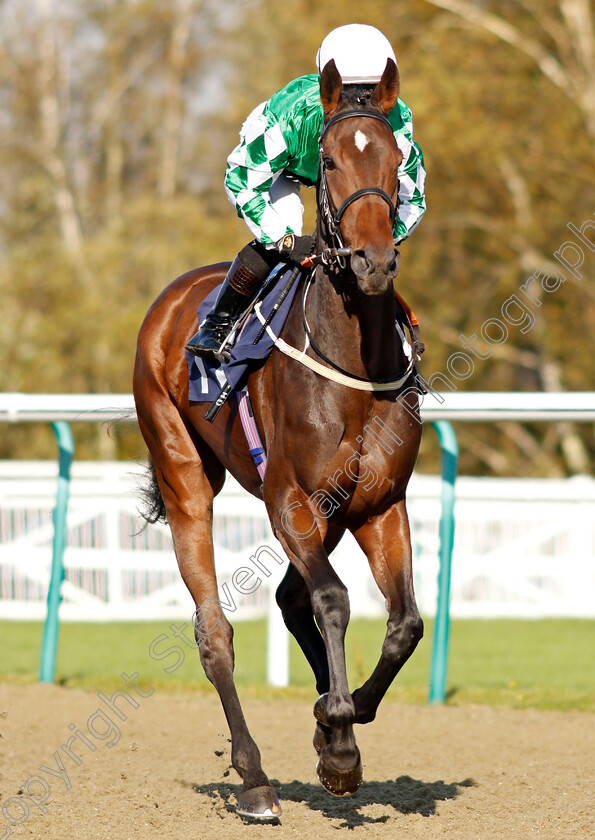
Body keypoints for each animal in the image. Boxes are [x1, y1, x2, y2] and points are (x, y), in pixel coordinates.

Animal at [134, 59, 424, 820]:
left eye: (396, 159)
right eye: (329, 159)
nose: (373, 261)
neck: (353, 363)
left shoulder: (378, 504)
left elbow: (404, 623)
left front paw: (339, 724)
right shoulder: (288, 499)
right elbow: (334, 601)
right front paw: (341, 745)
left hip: (328, 515)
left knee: (294, 600)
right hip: (184, 473)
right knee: (215, 632)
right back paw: (255, 778)